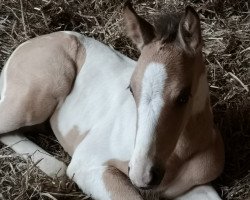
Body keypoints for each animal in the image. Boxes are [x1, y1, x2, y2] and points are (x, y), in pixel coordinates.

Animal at [0, 3, 225, 200]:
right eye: (131, 89)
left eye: (183, 96)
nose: (142, 175)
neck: (179, 156)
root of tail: (29, 42)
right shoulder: (87, 164)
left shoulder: (194, 187)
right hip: (36, 99)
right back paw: (55, 167)